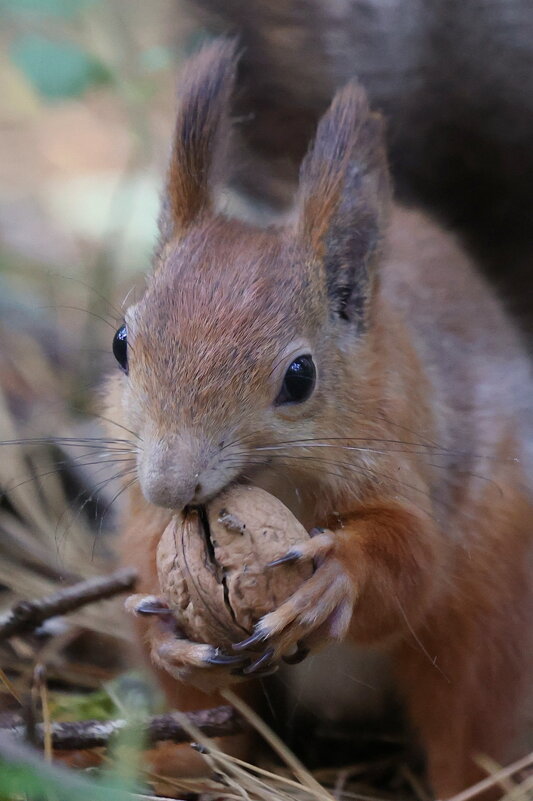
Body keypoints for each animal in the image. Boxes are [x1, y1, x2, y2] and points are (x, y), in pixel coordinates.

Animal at [106, 43, 528, 800]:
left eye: (300, 376)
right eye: (122, 344)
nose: (168, 485)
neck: (276, 480)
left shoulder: (404, 443)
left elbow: (411, 564)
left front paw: (335, 576)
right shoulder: (138, 505)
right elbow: (148, 555)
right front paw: (164, 631)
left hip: (491, 606)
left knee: (470, 716)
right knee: (218, 722)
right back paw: (177, 763)